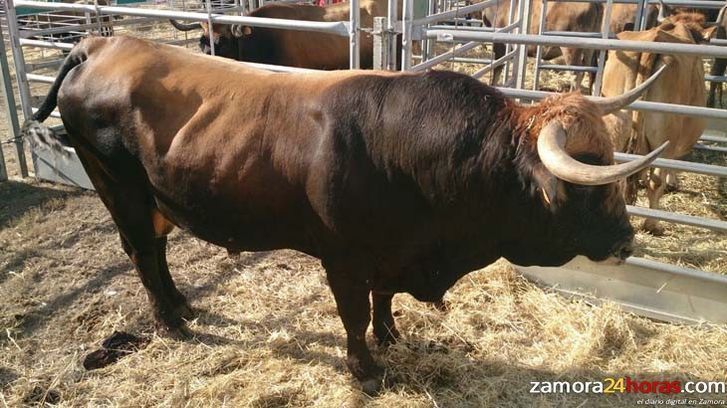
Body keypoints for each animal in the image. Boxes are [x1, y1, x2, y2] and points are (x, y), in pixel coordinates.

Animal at [27, 35, 664, 396]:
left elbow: (383, 302)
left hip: (155, 198)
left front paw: (392, 336)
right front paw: (366, 368)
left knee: (156, 253)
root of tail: (104, 44)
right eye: (588, 182)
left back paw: (183, 305)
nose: (626, 240)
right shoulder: (345, 259)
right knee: (141, 252)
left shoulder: (391, 255)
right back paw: (171, 322)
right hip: (121, 192)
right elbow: (354, 316)